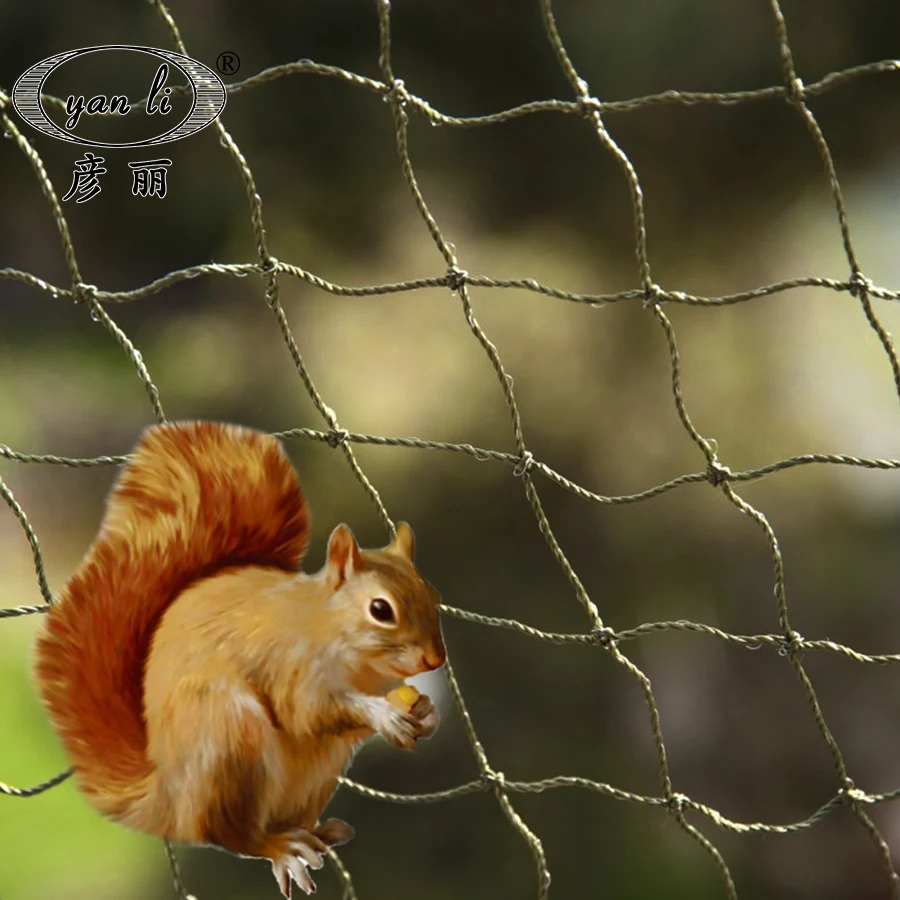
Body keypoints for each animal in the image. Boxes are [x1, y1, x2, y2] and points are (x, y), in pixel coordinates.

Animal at [33, 420, 447, 897]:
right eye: (380, 609)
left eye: (432, 595)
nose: (435, 660)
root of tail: (172, 799)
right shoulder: (290, 664)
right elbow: (307, 711)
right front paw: (384, 714)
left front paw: (426, 712)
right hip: (231, 740)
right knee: (234, 835)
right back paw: (280, 848)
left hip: (313, 772)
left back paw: (317, 834)